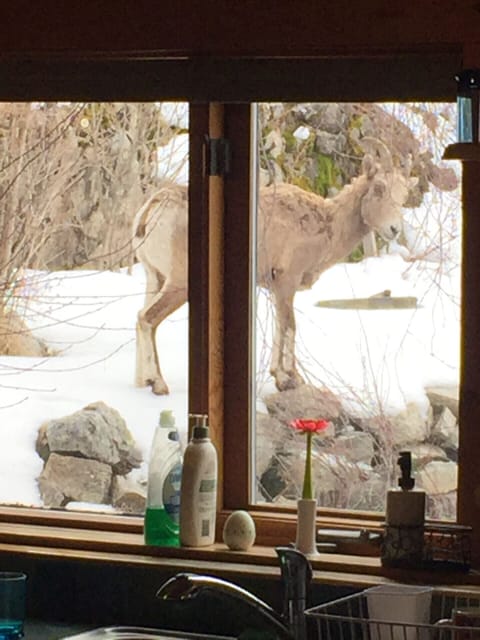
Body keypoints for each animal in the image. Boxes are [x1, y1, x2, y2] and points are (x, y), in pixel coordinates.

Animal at [132, 138, 412, 392]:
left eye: (404, 195)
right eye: (379, 188)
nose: (394, 229)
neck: (327, 225)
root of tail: (152, 209)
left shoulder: (278, 289)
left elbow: (280, 326)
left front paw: (280, 375)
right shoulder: (287, 281)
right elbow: (290, 326)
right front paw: (288, 379)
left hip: (154, 277)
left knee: (141, 318)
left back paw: (144, 381)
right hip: (179, 284)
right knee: (147, 319)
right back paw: (159, 384)